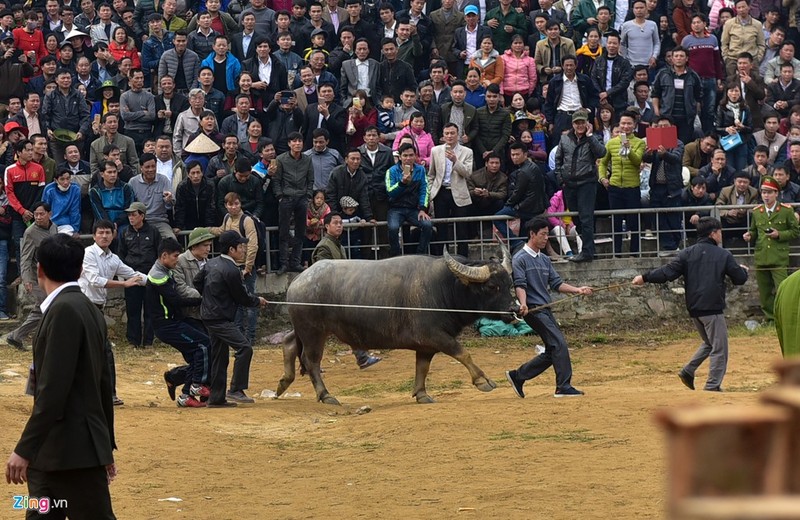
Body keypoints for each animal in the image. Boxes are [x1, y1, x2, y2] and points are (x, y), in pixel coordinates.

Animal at [276, 250, 516, 404]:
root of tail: (297, 282)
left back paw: (283, 383)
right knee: (311, 361)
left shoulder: (426, 345)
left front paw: (421, 394)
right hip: (313, 331)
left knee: (289, 342)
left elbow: (422, 367)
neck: (444, 288)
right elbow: (463, 353)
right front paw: (483, 381)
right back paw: (326, 395)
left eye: (509, 284)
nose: (516, 309)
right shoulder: (435, 336)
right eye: (492, 286)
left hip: (304, 329)